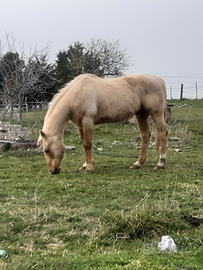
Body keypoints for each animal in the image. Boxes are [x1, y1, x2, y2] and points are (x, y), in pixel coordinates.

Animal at [37, 73, 167, 175]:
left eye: (46, 150)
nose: (53, 170)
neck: (77, 93)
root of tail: (159, 80)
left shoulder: (87, 122)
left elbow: (88, 144)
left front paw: (89, 167)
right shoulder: (80, 125)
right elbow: (84, 144)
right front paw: (85, 164)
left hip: (156, 113)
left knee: (162, 134)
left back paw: (160, 163)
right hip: (141, 114)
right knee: (145, 136)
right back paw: (138, 163)